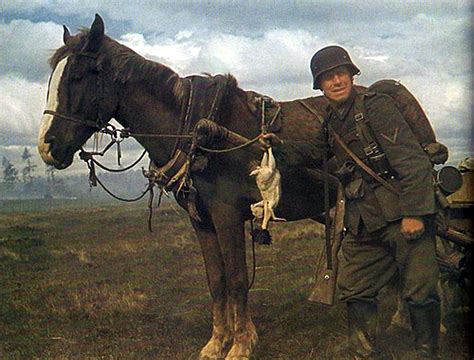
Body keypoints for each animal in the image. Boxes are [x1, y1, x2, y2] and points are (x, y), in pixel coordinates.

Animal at [37, 13, 336, 358]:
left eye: (78, 76)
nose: (47, 146)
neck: (197, 133)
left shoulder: (227, 216)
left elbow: (237, 279)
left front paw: (241, 345)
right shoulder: (202, 221)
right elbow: (216, 280)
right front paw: (217, 342)